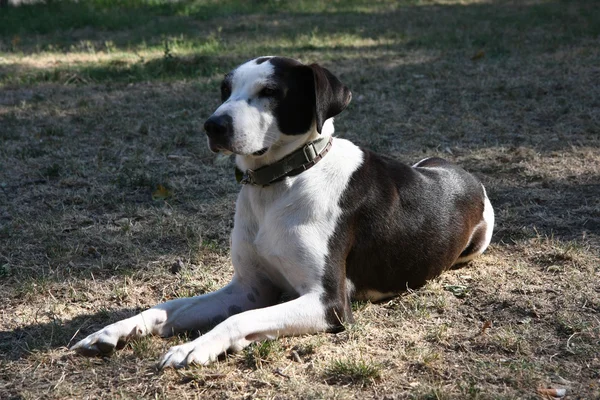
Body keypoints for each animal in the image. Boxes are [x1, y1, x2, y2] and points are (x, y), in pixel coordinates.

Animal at [70, 56, 494, 368]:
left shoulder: (328, 303)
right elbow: (167, 306)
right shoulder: (249, 287)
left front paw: (195, 346)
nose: (212, 125)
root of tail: (459, 171)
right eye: (225, 90)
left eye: (270, 91)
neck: (280, 183)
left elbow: (238, 319)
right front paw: (115, 330)